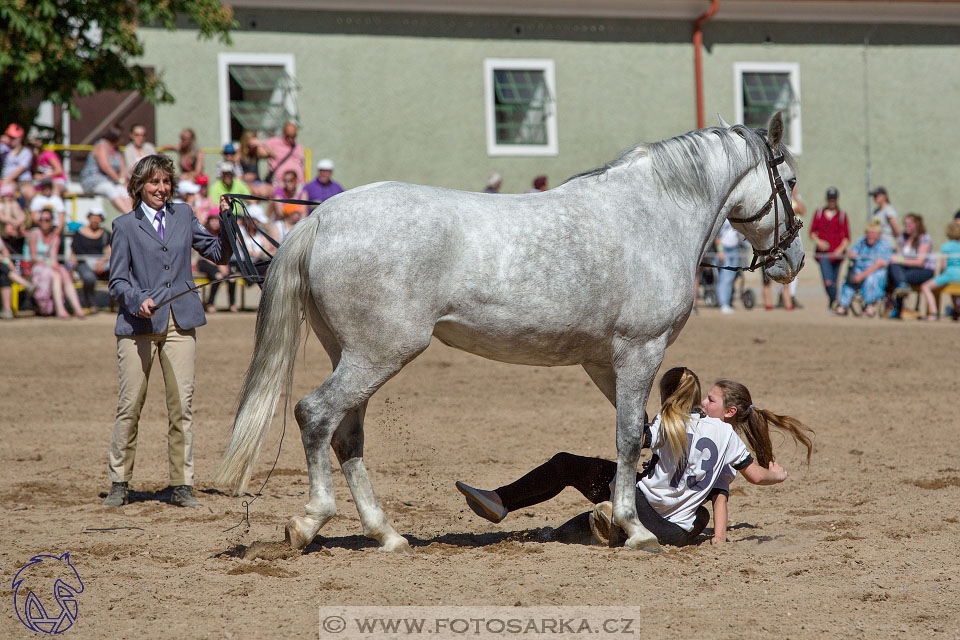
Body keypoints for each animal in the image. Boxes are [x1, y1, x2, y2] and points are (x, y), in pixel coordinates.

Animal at [216, 112, 804, 552]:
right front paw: (635, 528)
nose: (793, 260)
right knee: (316, 416)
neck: (653, 216)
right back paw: (309, 522)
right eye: (792, 182)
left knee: (347, 436)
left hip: (355, 356)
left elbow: (637, 433)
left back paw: (386, 534)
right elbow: (626, 436)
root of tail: (324, 217)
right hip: (377, 355)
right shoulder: (641, 350)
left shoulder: (602, 361)